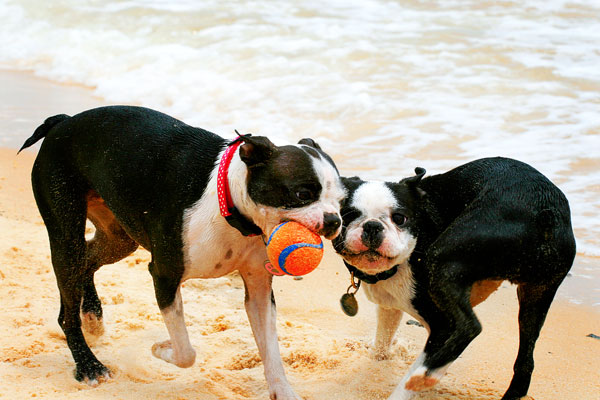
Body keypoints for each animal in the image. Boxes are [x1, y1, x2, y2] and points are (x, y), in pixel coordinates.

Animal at [19, 105, 342, 400]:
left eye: (341, 200)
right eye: (302, 194)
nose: (334, 220)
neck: (228, 206)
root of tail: (63, 122)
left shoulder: (259, 291)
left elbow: (271, 349)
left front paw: (283, 391)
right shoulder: (165, 276)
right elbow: (186, 352)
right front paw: (161, 348)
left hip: (119, 239)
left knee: (87, 261)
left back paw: (92, 316)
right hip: (66, 233)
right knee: (67, 309)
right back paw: (88, 365)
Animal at [332, 158, 576, 400]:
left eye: (399, 218)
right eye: (347, 216)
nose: (372, 225)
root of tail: (543, 211)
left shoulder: (442, 326)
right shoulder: (389, 307)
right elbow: (383, 340)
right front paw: (377, 363)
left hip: (442, 260)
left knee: (471, 327)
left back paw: (424, 377)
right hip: (537, 294)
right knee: (526, 355)